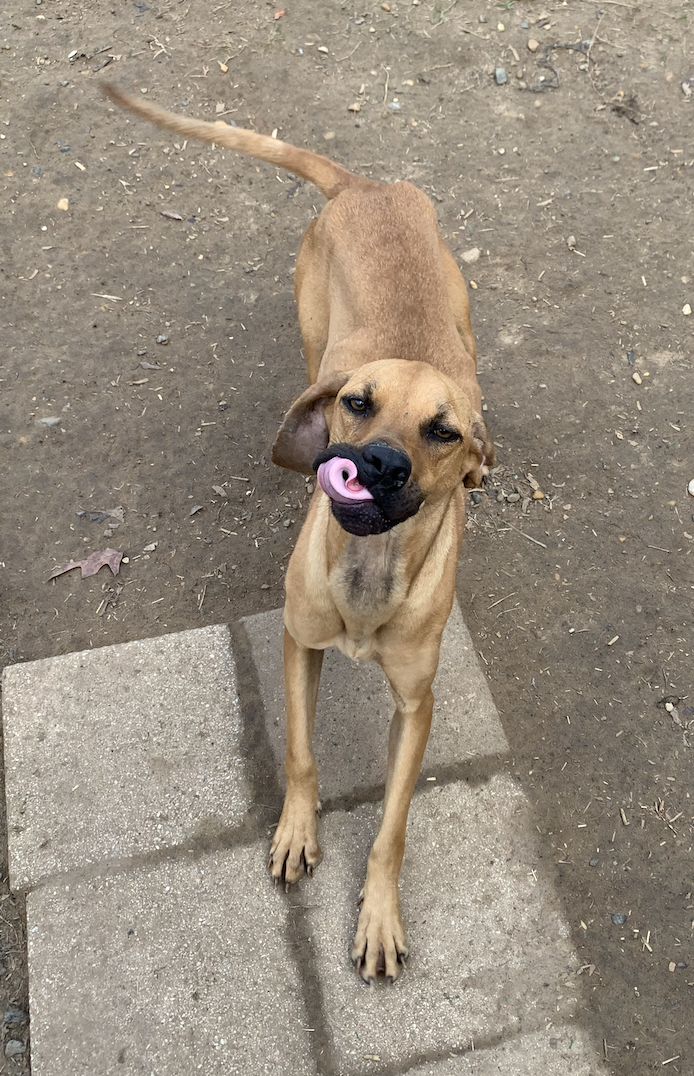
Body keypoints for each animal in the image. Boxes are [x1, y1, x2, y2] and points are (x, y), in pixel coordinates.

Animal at [102, 86, 492, 985]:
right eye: (358, 404)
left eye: (443, 432)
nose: (376, 460)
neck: (367, 575)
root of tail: (366, 186)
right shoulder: (297, 644)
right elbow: (303, 755)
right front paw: (295, 831)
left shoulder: (416, 704)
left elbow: (391, 828)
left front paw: (379, 914)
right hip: (312, 328)